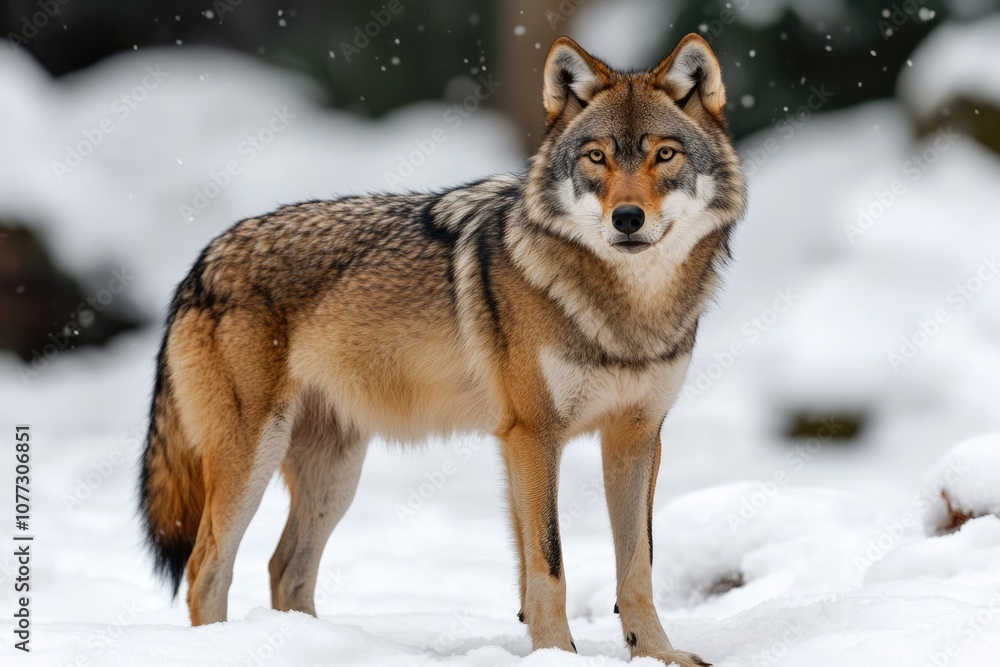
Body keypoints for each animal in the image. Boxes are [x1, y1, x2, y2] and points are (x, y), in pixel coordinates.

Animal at [139, 34, 746, 666]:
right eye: (597, 157)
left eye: (665, 155)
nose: (627, 219)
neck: (629, 314)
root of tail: (202, 261)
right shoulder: (533, 436)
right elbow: (549, 565)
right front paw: (557, 655)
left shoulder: (636, 437)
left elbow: (637, 567)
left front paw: (658, 655)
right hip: (252, 462)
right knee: (206, 569)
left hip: (335, 475)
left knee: (285, 568)